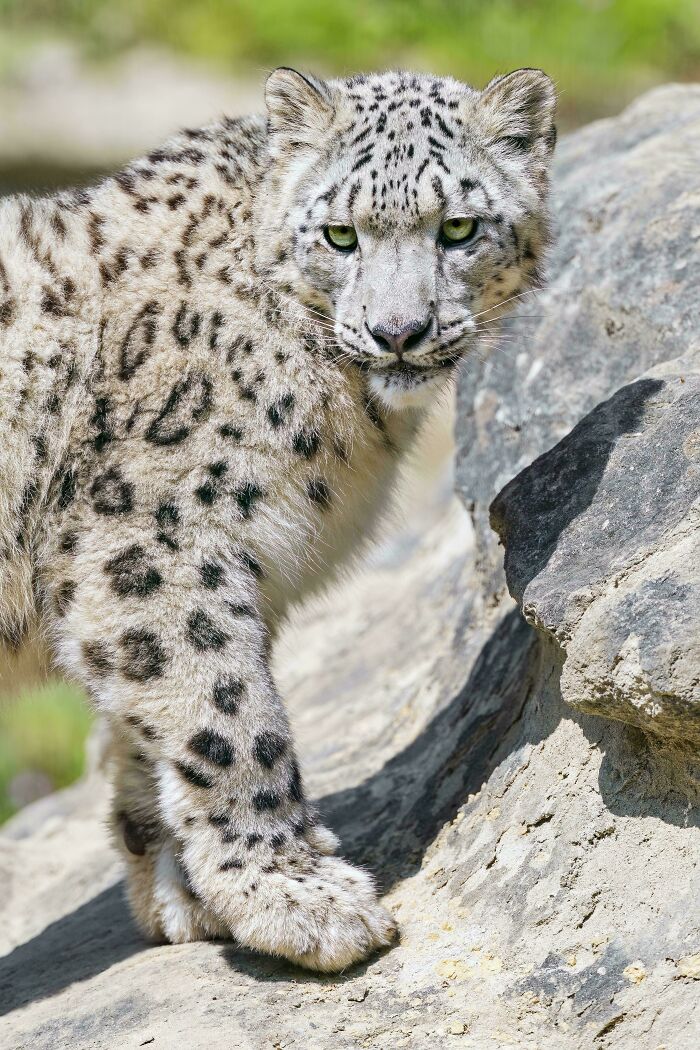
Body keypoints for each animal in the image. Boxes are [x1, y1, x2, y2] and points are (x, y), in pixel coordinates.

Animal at [0, 66, 556, 971]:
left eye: (459, 227)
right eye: (339, 235)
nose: (399, 332)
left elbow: (145, 731)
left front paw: (184, 893)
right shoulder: (154, 546)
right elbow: (228, 716)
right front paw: (297, 896)